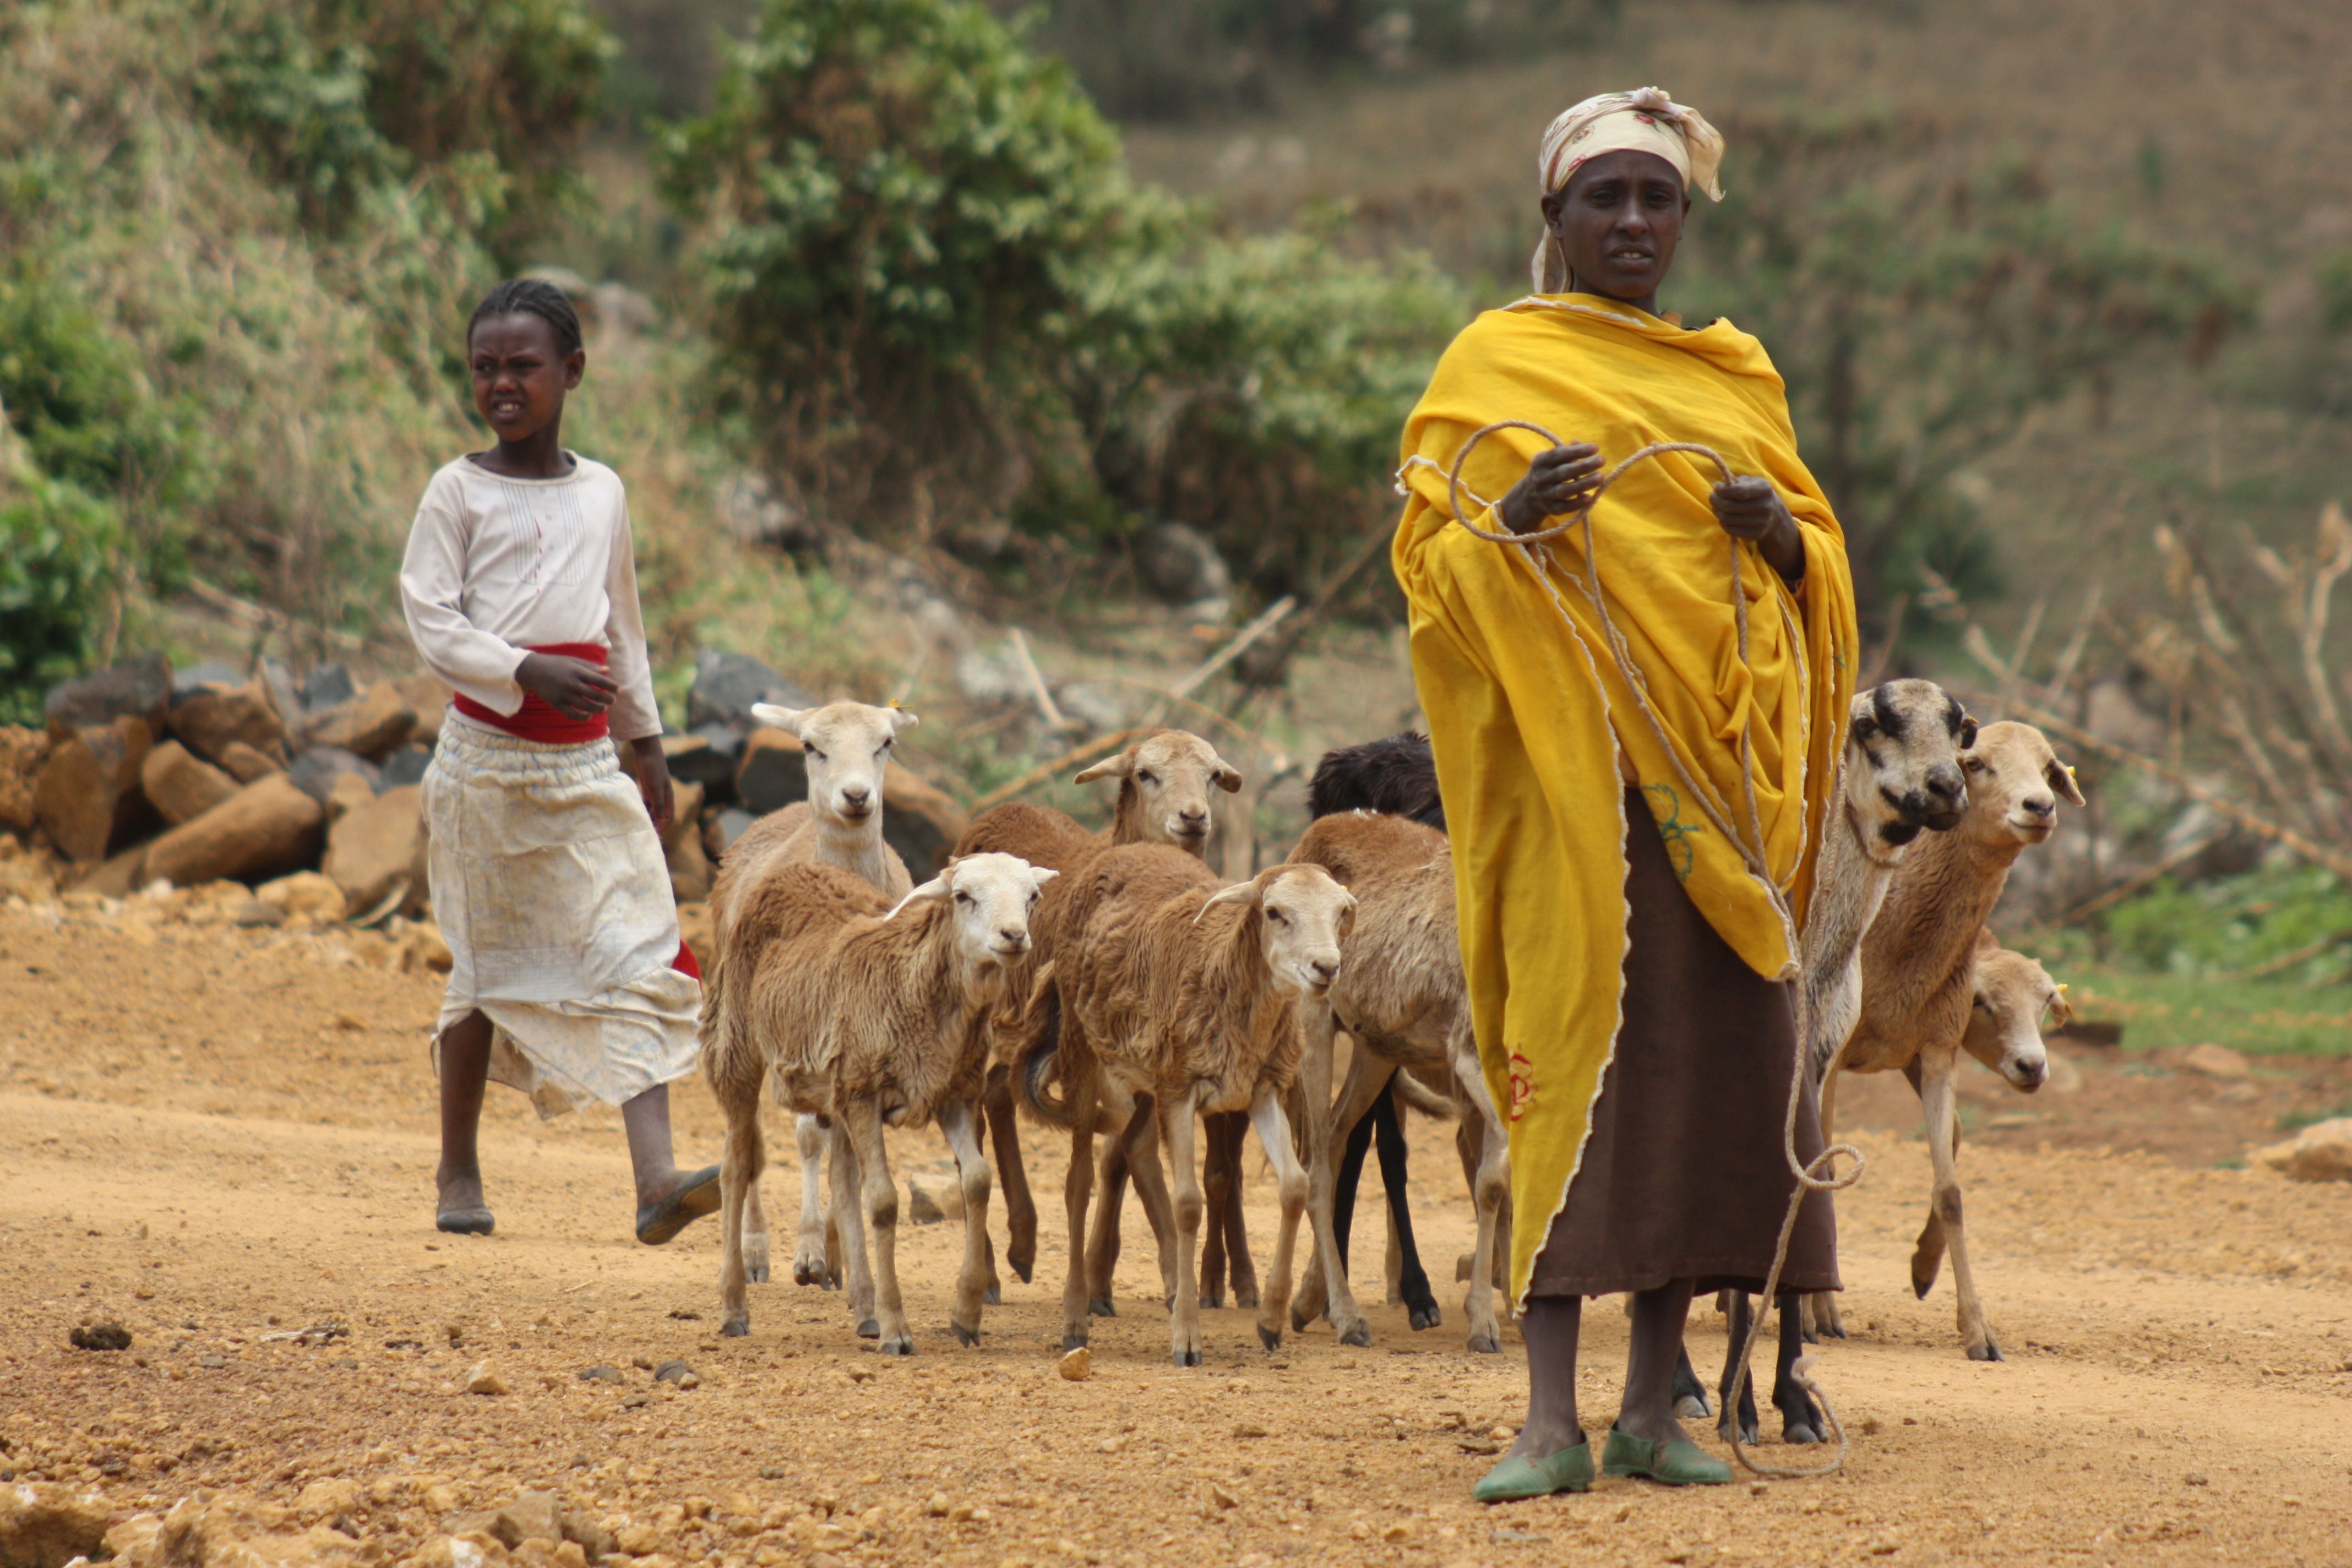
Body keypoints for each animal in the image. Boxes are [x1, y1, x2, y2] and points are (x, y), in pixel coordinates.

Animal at [696, 851, 1058, 1354]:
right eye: (963, 896)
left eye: (1033, 897)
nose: (1014, 936)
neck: (911, 983)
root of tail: (791, 871)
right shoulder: (865, 1092)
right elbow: (884, 1202)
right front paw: (897, 1329)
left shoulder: (952, 1094)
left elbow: (978, 1182)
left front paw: (966, 1314)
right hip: (740, 1045)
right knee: (735, 1166)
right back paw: (734, 1306)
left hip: (836, 1087)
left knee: (843, 1180)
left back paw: (864, 1307)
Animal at [701, 705, 912, 1297]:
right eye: (811, 747)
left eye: (886, 743)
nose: (857, 795)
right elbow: (806, 1140)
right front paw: (812, 1252)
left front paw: (842, 1255)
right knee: (756, 1138)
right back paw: (760, 1250)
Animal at [955, 728, 1251, 1307]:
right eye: (1145, 775)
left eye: (1212, 776)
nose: (1193, 817)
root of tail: (1001, 809)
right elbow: (1130, 1152)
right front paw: (1150, 1274)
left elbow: (1122, 1154)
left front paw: (1106, 1274)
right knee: (976, 1115)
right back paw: (994, 1271)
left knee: (1000, 1095)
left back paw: (1024, 1244)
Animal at [1011, 846, 1364, 1363]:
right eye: (1274, 913)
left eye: (1340, 912)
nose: (1326, 967)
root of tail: (1122, 851)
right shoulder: (1179, 1088)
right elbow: (1188, 1204)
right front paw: (1187, 1338)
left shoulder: (1260, 1089)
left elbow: (1296, 1186)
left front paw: (1270, 1321)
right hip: (1082, 1049)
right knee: (1078, 1181)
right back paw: (1075, 1319)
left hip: (1145, 1079)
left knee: (1131, 1145)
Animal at [1806, 719, 2088, 1354]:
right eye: (1977, 763)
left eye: (2048, 765)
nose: (2040, 806)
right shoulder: (1832, 1055)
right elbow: (1824, 1168)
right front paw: (1819, 1312)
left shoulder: (1931, 1050)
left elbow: (1952, 1185)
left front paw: (1961, 1309)